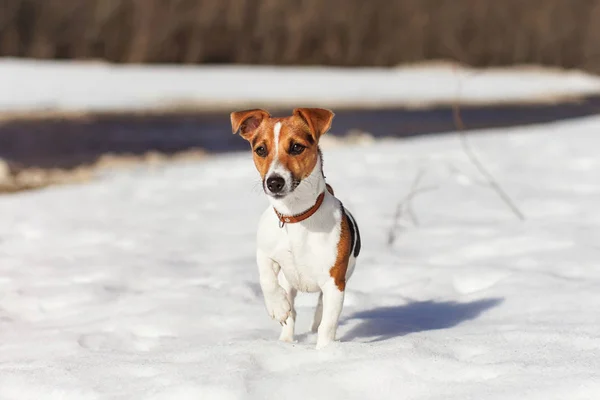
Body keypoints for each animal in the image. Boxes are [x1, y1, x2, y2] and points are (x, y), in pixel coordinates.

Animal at [230, 108, 360, 348]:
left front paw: (325, 350)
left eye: (297, 147)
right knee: (291, 312)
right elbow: (266, 279)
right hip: (288, 282)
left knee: (321, 308)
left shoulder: (335, 281)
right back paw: (285, 340)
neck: (296, 216)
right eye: (261, 150)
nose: (274, 182)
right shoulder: (264, 252)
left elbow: (328, 324)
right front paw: (278, 306)